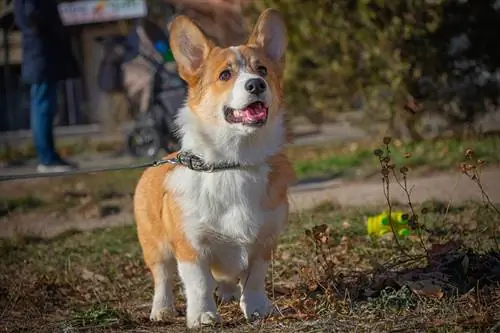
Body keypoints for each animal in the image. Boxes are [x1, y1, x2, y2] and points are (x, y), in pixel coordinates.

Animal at [134, 9, 296, 328]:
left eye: (262, 70)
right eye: (225, 75)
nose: (256, 84)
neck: (233, 163)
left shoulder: (263, 242)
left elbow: (254, 280)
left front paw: (256, 309)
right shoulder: (191, 246)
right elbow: (198, 284)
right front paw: (202, 316)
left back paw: (230, 293)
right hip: (155, 246)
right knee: (162, 278)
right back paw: (162, 309)